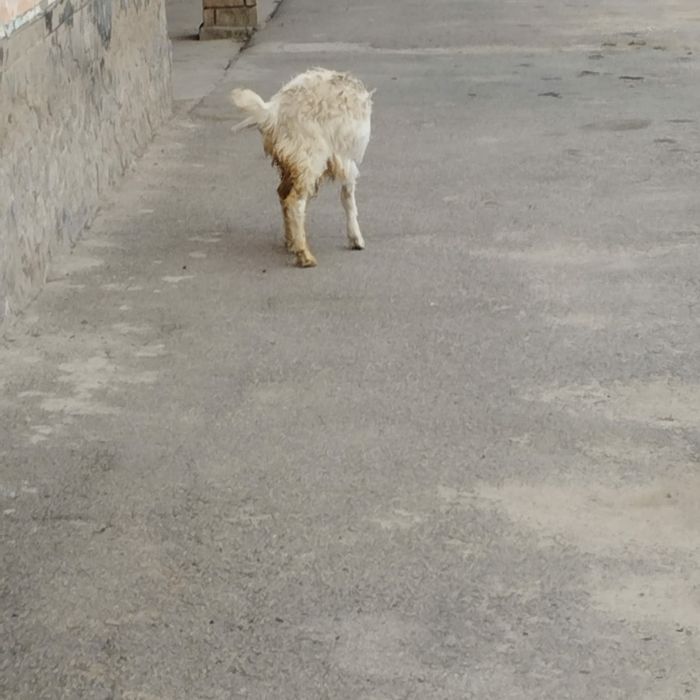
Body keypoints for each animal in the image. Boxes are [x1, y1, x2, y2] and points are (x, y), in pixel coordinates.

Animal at [231, 68, 374, 268]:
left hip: (293, 163)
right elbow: (348, 199)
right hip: (311, 159)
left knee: (283, 194)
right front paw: (356, 239)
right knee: (295, 202)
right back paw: (304, 255)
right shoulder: (345, 159)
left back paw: (291, 241)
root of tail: (274, 111)